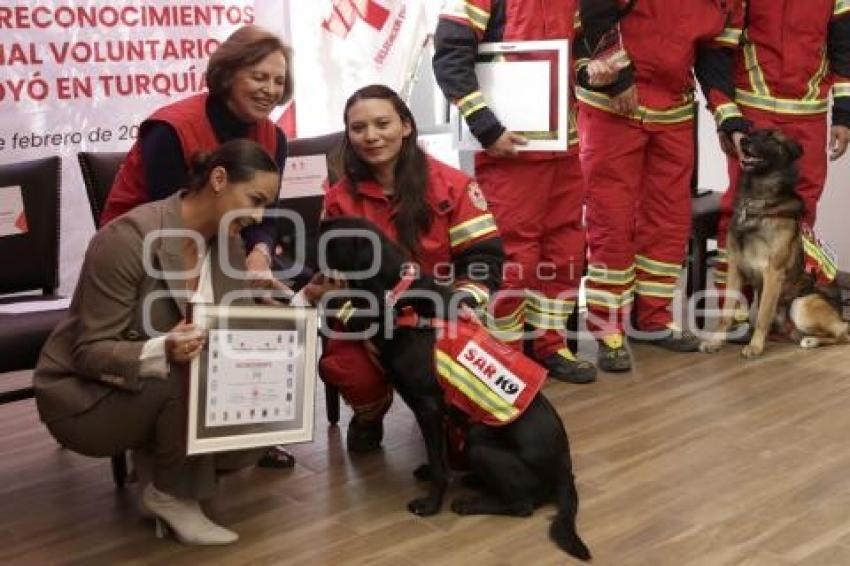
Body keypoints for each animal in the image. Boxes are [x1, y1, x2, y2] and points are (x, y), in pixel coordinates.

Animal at [318, 216, 588, 560]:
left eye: (335, 233)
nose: (316, 223)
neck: (397, 297)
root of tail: (566, 475)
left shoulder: (429, 407)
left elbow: (438, 462)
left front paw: (431, 504)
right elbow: (440, 456)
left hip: (480, 443)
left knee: (523, 505)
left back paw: (469, 503)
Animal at [700, 130, 844, 358]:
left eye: (771, 138)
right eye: (751, 133)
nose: (744, 140)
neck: (756, 199)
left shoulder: (773, 274)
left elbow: (762, 315)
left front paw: (755, 346)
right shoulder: (735, 269)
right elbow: (726, 312)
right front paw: (716, 342)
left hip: (801, 304)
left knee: (842, 332)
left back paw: (812, 340)